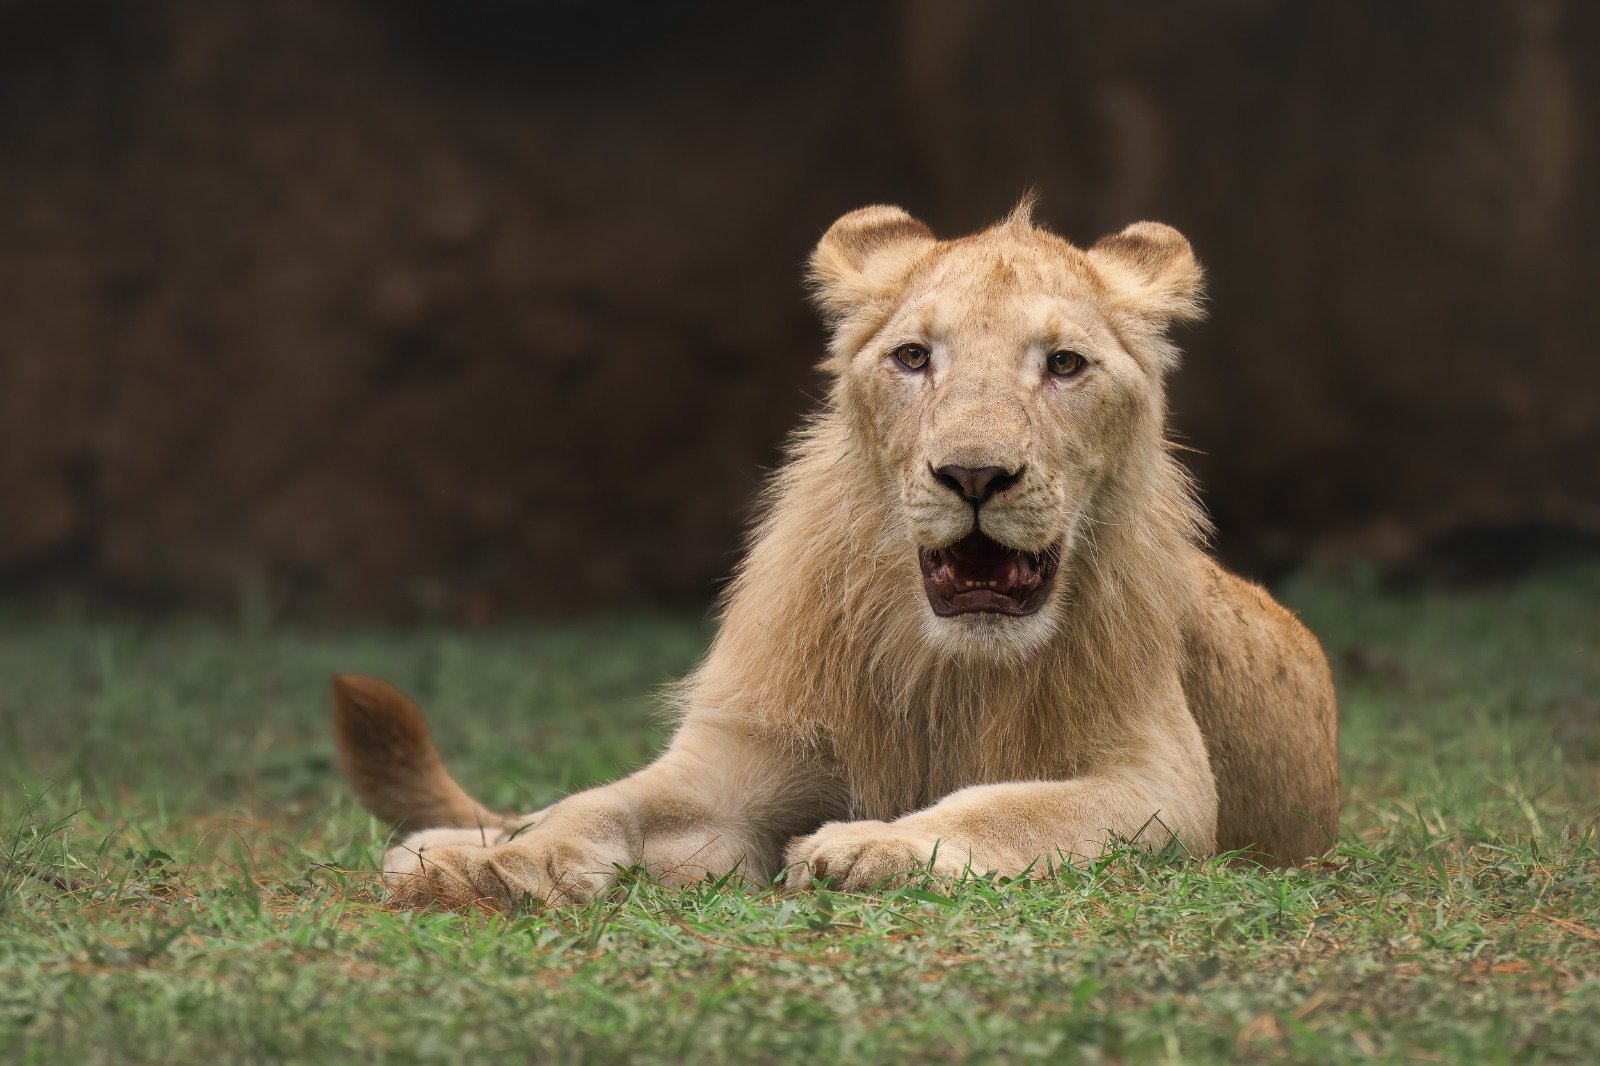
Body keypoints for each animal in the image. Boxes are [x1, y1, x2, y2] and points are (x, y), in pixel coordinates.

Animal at [332, 199, 1340, 910]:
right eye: (914, 358)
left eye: (1064, 365)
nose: (975, 475)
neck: (949, 667)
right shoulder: (738, 762)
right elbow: (603, 803)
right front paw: (503, 870)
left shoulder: (1162, 784)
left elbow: (1015, 803)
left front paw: (876, 845)